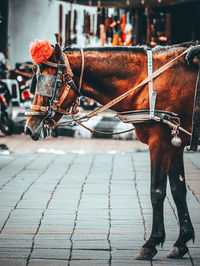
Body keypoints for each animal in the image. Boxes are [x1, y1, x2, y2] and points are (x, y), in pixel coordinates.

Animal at [24, 39, 199, 260]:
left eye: (48, 82)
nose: (29, 128)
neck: (146, 80)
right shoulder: (174, 143)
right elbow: (179, 191)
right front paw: (182, 241)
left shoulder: (160, 142)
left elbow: (157, 192)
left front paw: (151, 242)